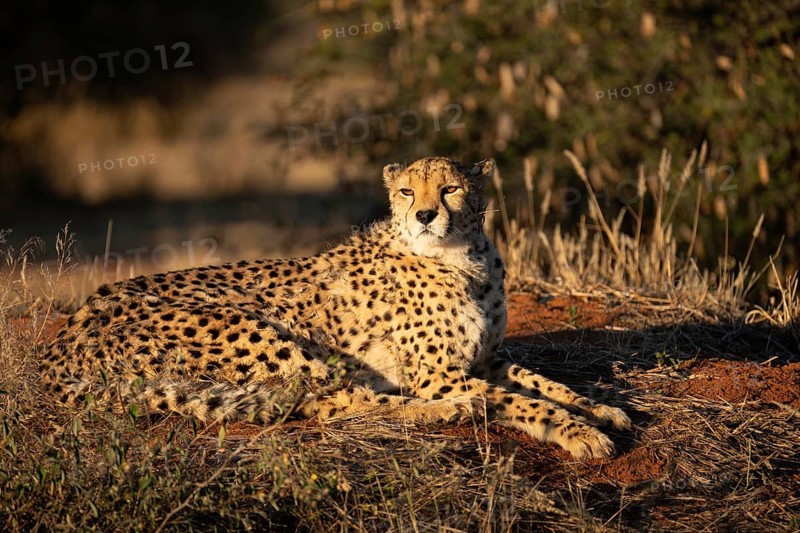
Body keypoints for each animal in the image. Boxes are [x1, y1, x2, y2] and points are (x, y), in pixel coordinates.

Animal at [40, 156, 631, 459]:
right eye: (406, 192)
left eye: (450, 188)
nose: (425, 215)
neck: (463, 256)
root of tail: (58, 343)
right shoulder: (438, 373)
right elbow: (524, 402)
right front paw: (578, 432)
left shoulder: (487, 357)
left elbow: (545, 383)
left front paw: (600, 410)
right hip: (258, 328)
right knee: (328, 401)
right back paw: (450, 411)